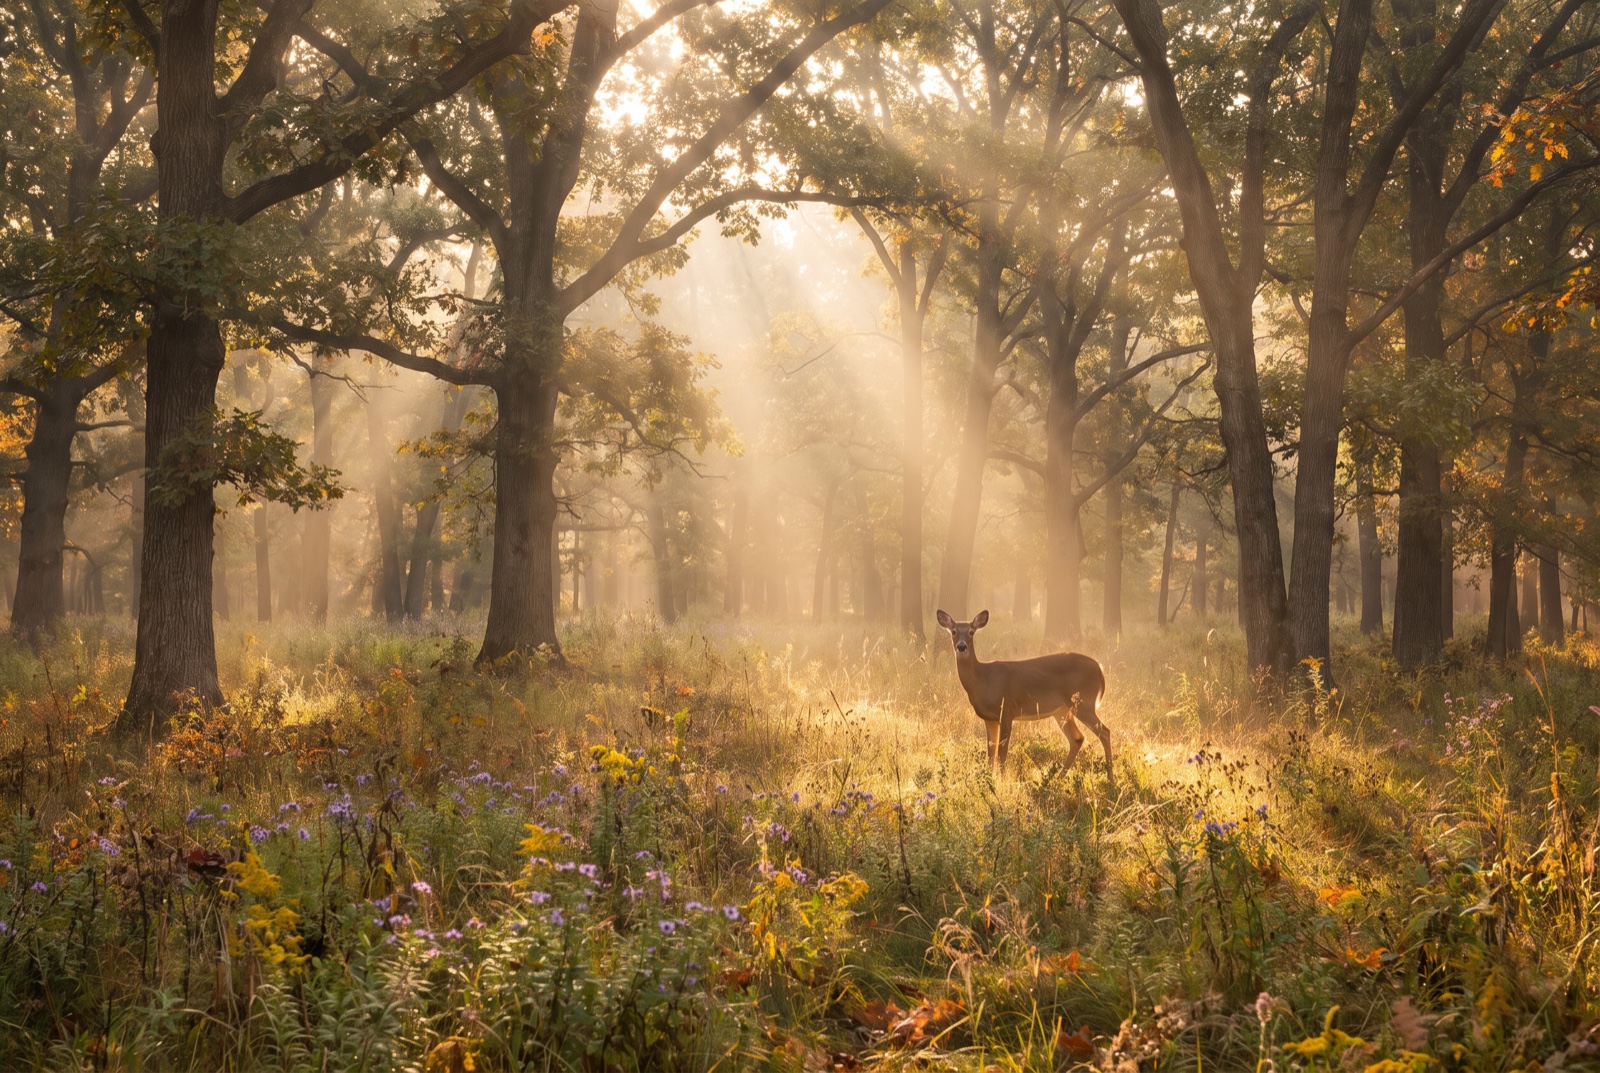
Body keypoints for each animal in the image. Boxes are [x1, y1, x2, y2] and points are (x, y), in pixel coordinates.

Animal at [936, 609, 1113, 787]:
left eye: (971, 632)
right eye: (954, 631)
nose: (961, 646)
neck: (982, 679)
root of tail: (1100, 668)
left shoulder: (1007, 710)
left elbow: (1002, 754)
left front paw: (1001, 781)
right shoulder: (989, 718)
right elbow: (991, 753)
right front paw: (989, 781)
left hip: (1084, 703)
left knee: (1104, 731)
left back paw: (1110, 779)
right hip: (1063, 711)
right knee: (1077, 739)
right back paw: (1058, 779)